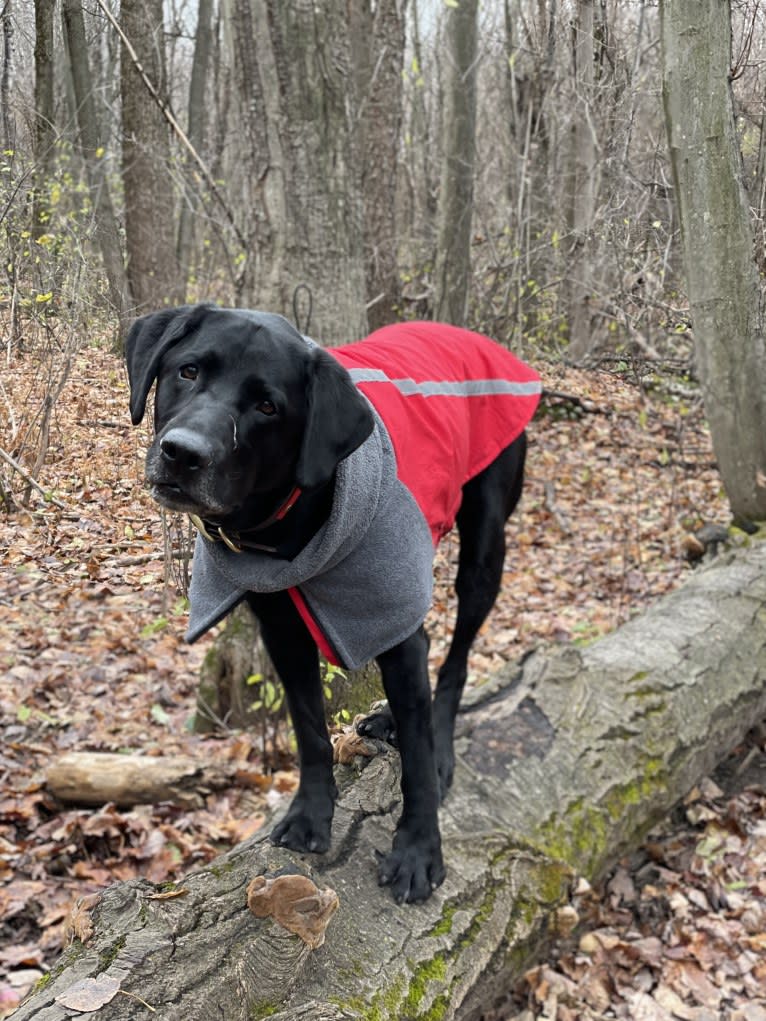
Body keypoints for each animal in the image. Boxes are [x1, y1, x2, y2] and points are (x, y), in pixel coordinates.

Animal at [127, 302, 539, 902]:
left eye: (268, 406)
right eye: (188, 371)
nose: (182, 454)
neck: (290, 524)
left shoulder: (394, 622)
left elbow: (417, 762)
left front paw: (419, 850)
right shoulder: (283, 633)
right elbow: (309, 729)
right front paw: (311, 815)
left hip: (485, 544)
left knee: (456, 659)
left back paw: (440, 742)